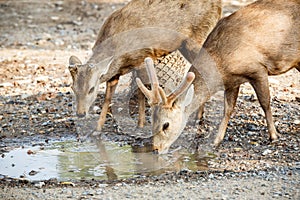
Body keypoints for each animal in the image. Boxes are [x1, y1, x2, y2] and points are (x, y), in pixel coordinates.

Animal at [68, 0, 223, 131]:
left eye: (91, 89)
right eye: (73, 88)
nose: (80, 113)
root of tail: (219, 4)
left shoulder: (142, 57)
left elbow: (141, 91)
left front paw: (141, 124)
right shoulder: (116, 72)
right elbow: (108, 97)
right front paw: (97, 129)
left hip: (198, 35)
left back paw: (197, 119)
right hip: (184, 44)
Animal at [137, 0, 298, 153]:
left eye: (166, 125)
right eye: (152, 121)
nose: (156, 149)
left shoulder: (257, 69)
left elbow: (265, 103)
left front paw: (274, 136)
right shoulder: (232, 81)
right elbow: (228, 109)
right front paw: (216, 140)